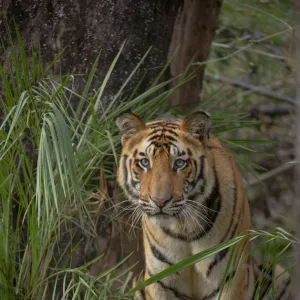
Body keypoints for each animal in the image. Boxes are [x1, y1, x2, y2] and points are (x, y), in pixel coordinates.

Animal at [115, 111, 290, 298]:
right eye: (145, 162)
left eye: (179, 163)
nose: (160, 201)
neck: (184, 228)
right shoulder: (160, 280)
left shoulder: (230, 276)